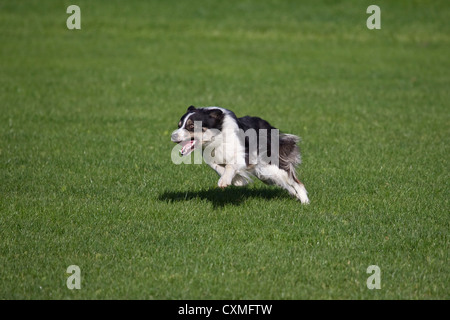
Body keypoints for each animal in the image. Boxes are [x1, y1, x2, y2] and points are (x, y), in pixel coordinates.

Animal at [171, 106, 310, 204]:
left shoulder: (244, 155)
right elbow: (216, 167)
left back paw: (305, 202)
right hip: (265, 174)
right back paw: (294, 194)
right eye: (179, 125)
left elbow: (230, 165)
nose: (173, 136)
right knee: (285, 182)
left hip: (271, 165)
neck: (217, 137)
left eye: (191, 125)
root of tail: (268, 126)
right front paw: (238, 181)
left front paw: (224, 182)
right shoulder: (212, 156)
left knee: (295, 181)